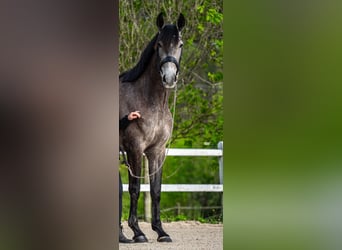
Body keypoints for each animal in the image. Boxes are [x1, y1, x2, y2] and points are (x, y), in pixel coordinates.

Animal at [119, 12, 186, 242]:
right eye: (159, 44)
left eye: (180, 44)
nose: (169, 78)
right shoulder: (134, 149)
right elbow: (135, 188)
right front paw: (138, 232)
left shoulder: (156, 151)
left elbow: (156, 190)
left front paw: (160, 231)